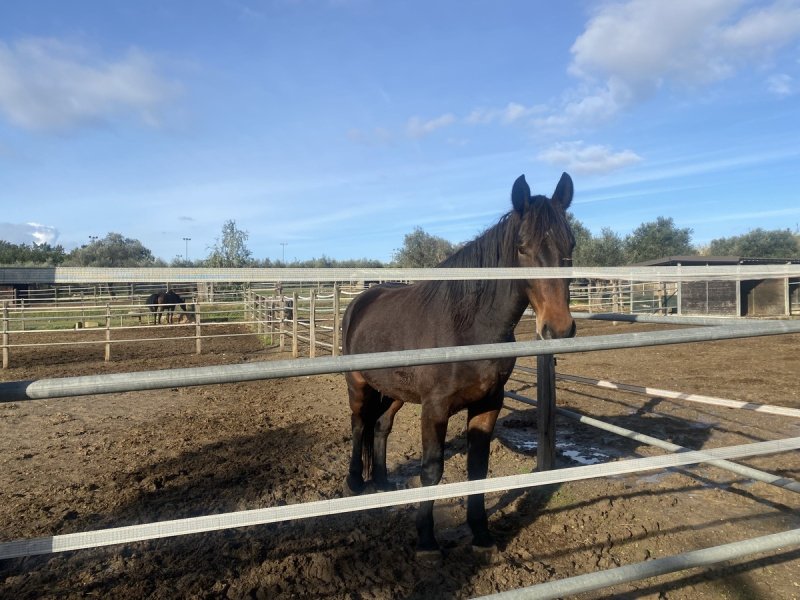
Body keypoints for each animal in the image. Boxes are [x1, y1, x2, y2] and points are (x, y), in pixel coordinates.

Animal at [340, 172, 580, 556]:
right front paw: (426, 541)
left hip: (394, 391)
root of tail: (361, 300)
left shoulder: (488, 403)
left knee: (380, 426)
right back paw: (354, 483)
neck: (468, 327)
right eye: (522, 246)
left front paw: (481, 534)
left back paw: (382, 481)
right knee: (360, 424)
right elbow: (431, 470)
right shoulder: (435, 408)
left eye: (569, 243)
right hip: (359, 383)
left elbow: (477, 470)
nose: (558, 328)